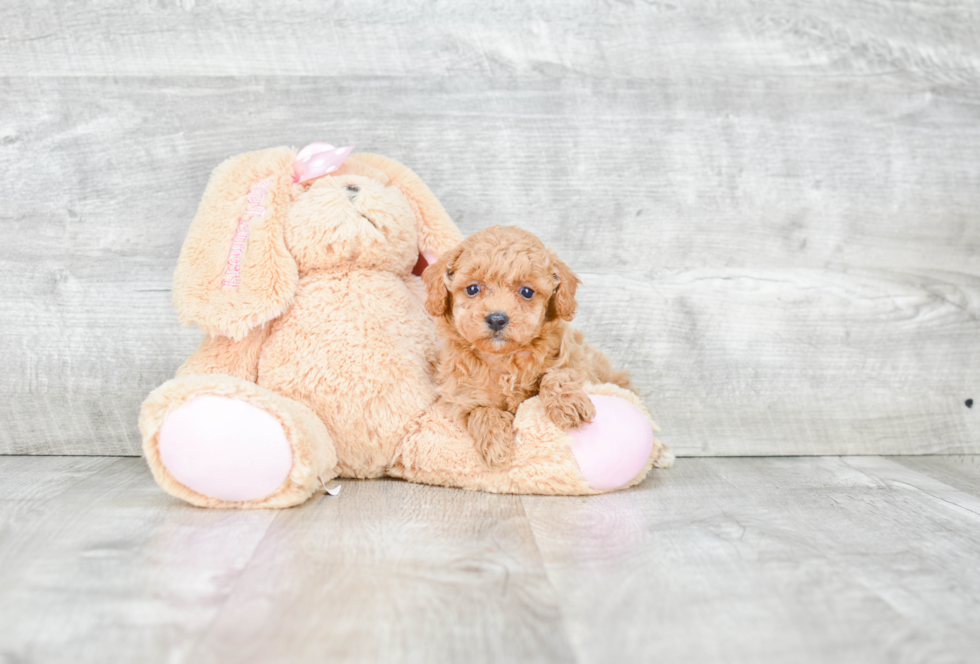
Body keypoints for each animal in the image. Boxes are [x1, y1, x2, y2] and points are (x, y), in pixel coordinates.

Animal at [424, 226, 636, 470]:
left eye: (527, 292)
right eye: (473, 289)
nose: (497, 319)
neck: (504, 358)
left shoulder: (577, 362)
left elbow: (556, 375)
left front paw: (568, 405)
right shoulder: (459, 398)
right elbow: (482, 410)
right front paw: (496, 444)